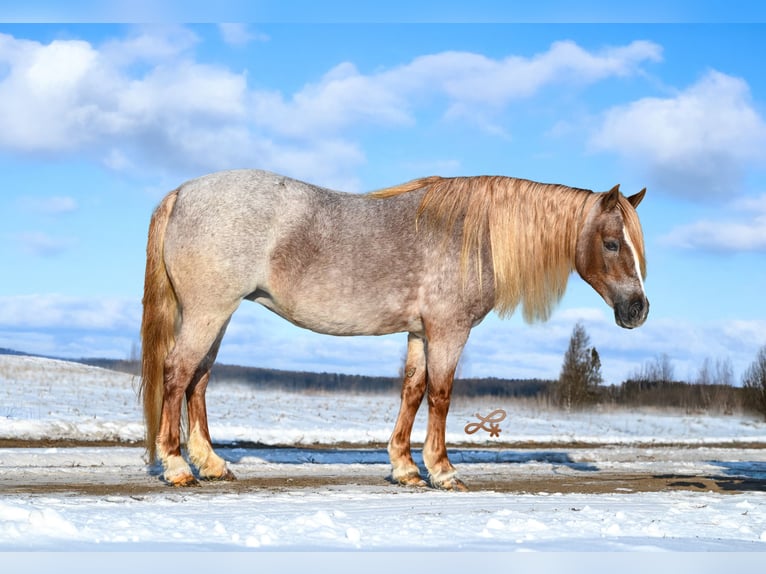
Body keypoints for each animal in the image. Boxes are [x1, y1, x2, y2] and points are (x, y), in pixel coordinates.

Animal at [140, 169, 649, 490]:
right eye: (611, 243)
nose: (638, 309)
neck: (472, 235)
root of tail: (182, 193)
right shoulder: (448, 330)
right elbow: (441, 395)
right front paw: (442, 470)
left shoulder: (420, 333)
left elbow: (413, 390)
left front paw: (404, 467)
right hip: (208, 312)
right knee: (177, 373)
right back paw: (177, 466)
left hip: (216, 316)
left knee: (199, 379)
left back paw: (211, 463)